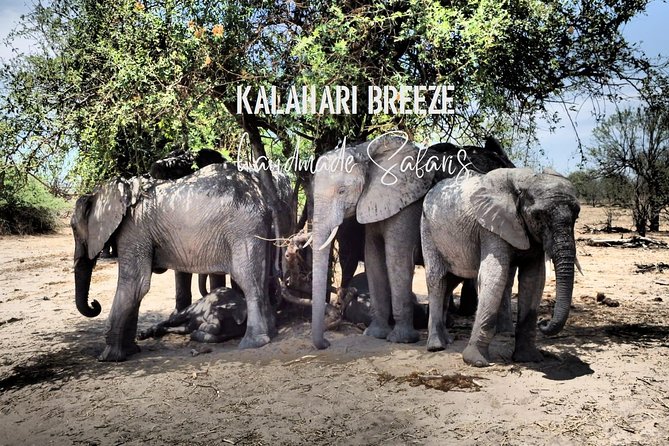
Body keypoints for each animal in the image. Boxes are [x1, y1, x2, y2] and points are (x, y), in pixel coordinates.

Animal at [72, 163, 280, 361]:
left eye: (73, 228)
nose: (95, 304)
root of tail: (266, 202)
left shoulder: (134, 230)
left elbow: (135, 285)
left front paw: (108, 358)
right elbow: (136, 290)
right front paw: (130, 351)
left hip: (244, 230)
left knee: (248, 280)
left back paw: (251, 343)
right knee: (261, 278)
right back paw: (271, 332)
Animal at [311, 133, 514, 349]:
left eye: (342, 191)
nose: (326, 343)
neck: (365, 150)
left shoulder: (407, 203)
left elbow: (396, 258)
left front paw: (401, 339)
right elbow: (373, 258)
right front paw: (375, 334)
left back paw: (502, 331)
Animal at [420, 168, 580, 367]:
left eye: (577, 216)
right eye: (539, 216)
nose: (543, 322)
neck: (525, 181)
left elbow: (534, 280)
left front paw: (529, 358)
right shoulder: (490, 226)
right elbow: (495, 274)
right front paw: (476, 361)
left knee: (451, 281)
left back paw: (448, 340)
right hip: (427, 229)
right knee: (437, 280)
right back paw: (436, 346)